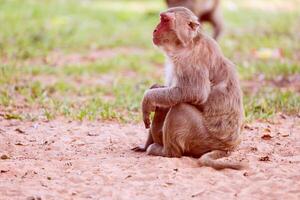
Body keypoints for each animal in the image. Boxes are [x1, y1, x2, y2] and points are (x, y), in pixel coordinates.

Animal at [132, 7, 245, 170]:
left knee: (181, 108)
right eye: (161, 18)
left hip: (205, 139)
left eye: (165, 20)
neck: (185, 44)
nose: (155, 30)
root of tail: (228, 147)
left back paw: (166, 151)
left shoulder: (191, 61)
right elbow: (167, 91)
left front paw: (148, 99)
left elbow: (195, 93)